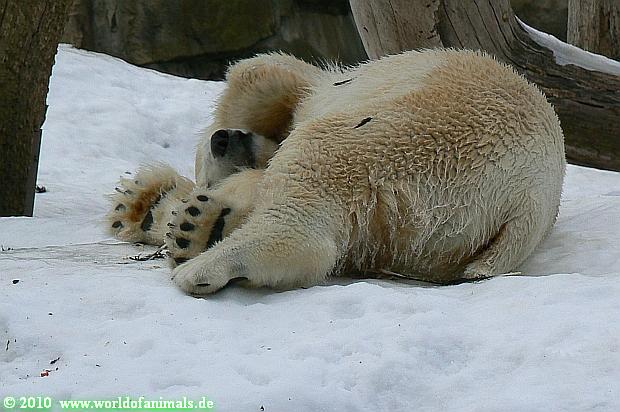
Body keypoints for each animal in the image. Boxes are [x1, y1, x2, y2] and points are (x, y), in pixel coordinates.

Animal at [107, 49, 566, 295]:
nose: (225, 140)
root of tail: (525, 204)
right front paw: (144, 204)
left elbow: (253, 73)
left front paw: (169, 206)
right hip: (440, 233)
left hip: (412, 130)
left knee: (314, 174)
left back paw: (202, 259)